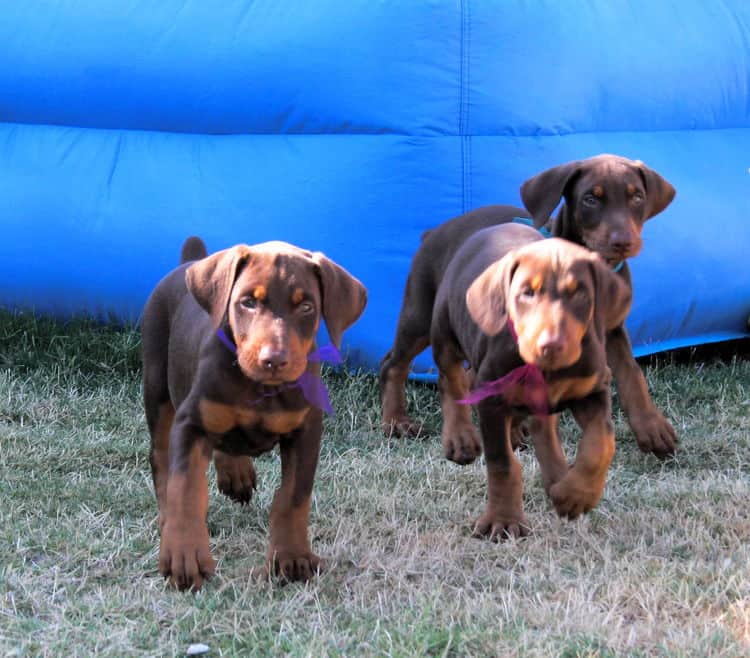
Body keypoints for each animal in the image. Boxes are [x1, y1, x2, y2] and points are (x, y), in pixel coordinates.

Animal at [141, 236, 368, 588]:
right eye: (247, 302)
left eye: (306, 307)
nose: (273, 360)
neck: (258, 387)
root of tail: (187, 264)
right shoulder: (191, 423)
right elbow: (186, 490)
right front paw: (185, 554)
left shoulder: (306, 431)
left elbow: (293, 496)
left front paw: (292, 557)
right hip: (157, 386)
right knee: (161, 459)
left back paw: (236, 472)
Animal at [378, 154, 680, 456]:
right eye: (590, 199)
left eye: (637, 197)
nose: (623, 242)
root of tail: (434, 232)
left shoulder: (612, 329)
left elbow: (632, 374)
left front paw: (651, 427)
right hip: (420, 313)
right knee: (394, 363)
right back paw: (396, 421)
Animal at [428, 223, 636, 536]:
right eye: (527, 293)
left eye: (579, 294)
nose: (550, 345)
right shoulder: (492, 399)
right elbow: (502, 463)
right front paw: (504, 520)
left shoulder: (593, 390)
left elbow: (602, 443)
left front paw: (576, 496)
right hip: (444, 331)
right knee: (451, 379)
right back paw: (460, 437)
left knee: (543, 426)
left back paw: (558, 475)